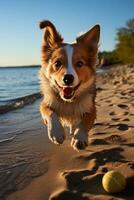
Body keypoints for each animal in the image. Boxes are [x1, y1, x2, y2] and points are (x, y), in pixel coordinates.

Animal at [38, 20, 99, 152]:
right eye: (57, 63)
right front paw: (56, 133)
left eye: (80, 63)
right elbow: (50, 112)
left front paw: (79, 138)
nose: (68, 79)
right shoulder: (45, 103)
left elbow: (84, 122)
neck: (68, 101)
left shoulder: (91, 108)